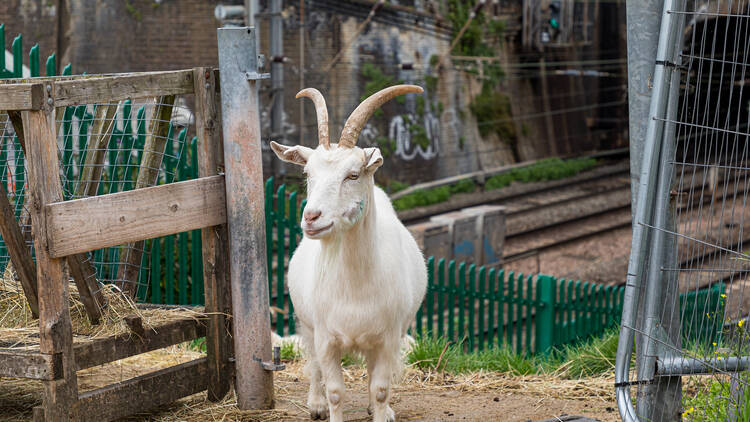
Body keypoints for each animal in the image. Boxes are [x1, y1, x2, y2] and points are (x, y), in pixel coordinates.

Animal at [272, 85, 428, 422]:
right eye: (307, 173)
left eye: (353, 175)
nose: (311, 217)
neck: (355, 286)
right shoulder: (326, 338)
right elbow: (335, 390)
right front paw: (326, 405)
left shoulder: (387, 338)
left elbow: (380, 388)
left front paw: (381, 411)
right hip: (307, 324)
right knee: (313, 364)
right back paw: (315, 405)